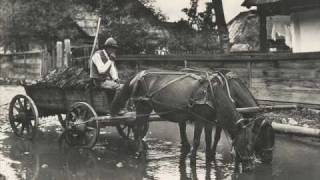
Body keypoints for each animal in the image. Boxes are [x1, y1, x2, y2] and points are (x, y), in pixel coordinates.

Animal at [111, 69, 256, 171]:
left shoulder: (209, 121)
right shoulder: (199, 120)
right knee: (137, 129)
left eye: (251, 144)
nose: (250, 167)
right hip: (142, 107)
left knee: (139, 129)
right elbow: (197, 141)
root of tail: (137, 75)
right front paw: (192, 161)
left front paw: (209, 158)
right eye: (247, 144)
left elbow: (209, 140)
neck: (212, 94)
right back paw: (140, 152)